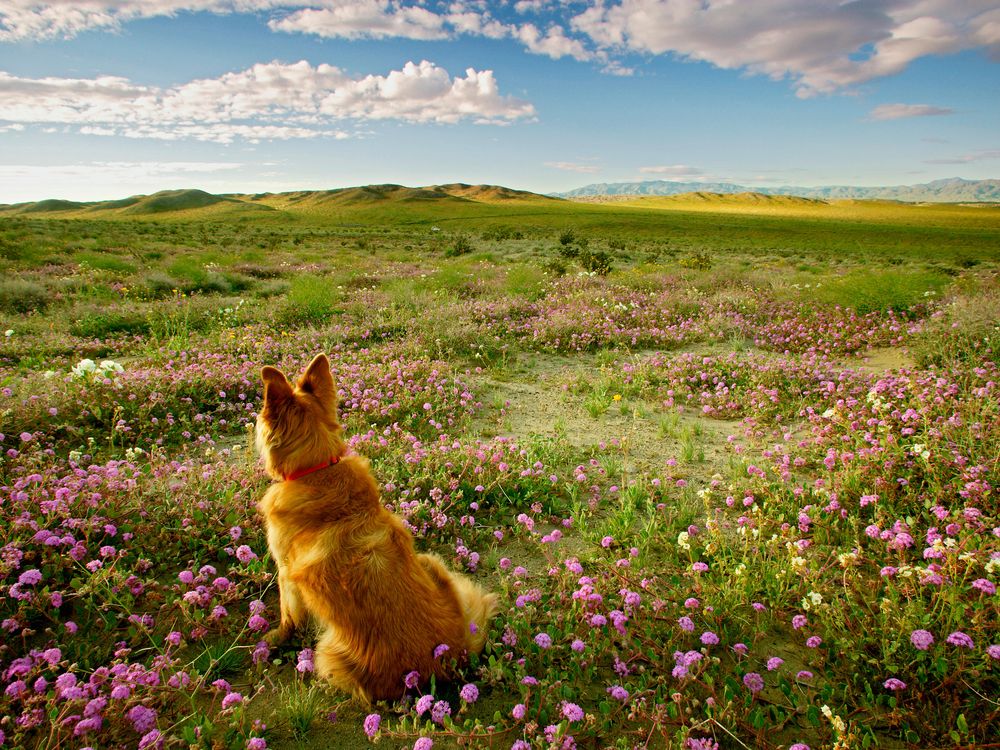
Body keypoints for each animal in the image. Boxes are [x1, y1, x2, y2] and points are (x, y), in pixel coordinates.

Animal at [254, 356, 496, 704]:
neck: (317, 468)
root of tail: (452, 658)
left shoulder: (285, 572)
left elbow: (289, 616)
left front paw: (275, 638)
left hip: (326, 654)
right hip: (428, 562)